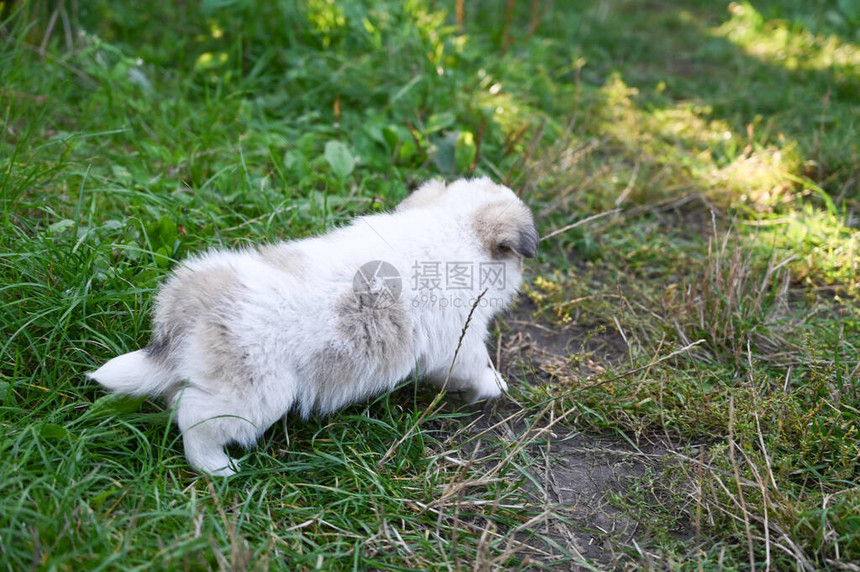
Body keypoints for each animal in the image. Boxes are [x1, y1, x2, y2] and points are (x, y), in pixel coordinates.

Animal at [92, 178, 536, 474]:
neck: (452, 229)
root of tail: (192, 305)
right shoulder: (461, 341)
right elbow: (476, 368)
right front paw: (496, 386)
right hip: (254, 397)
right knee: (196, 420)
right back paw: (218, 467)